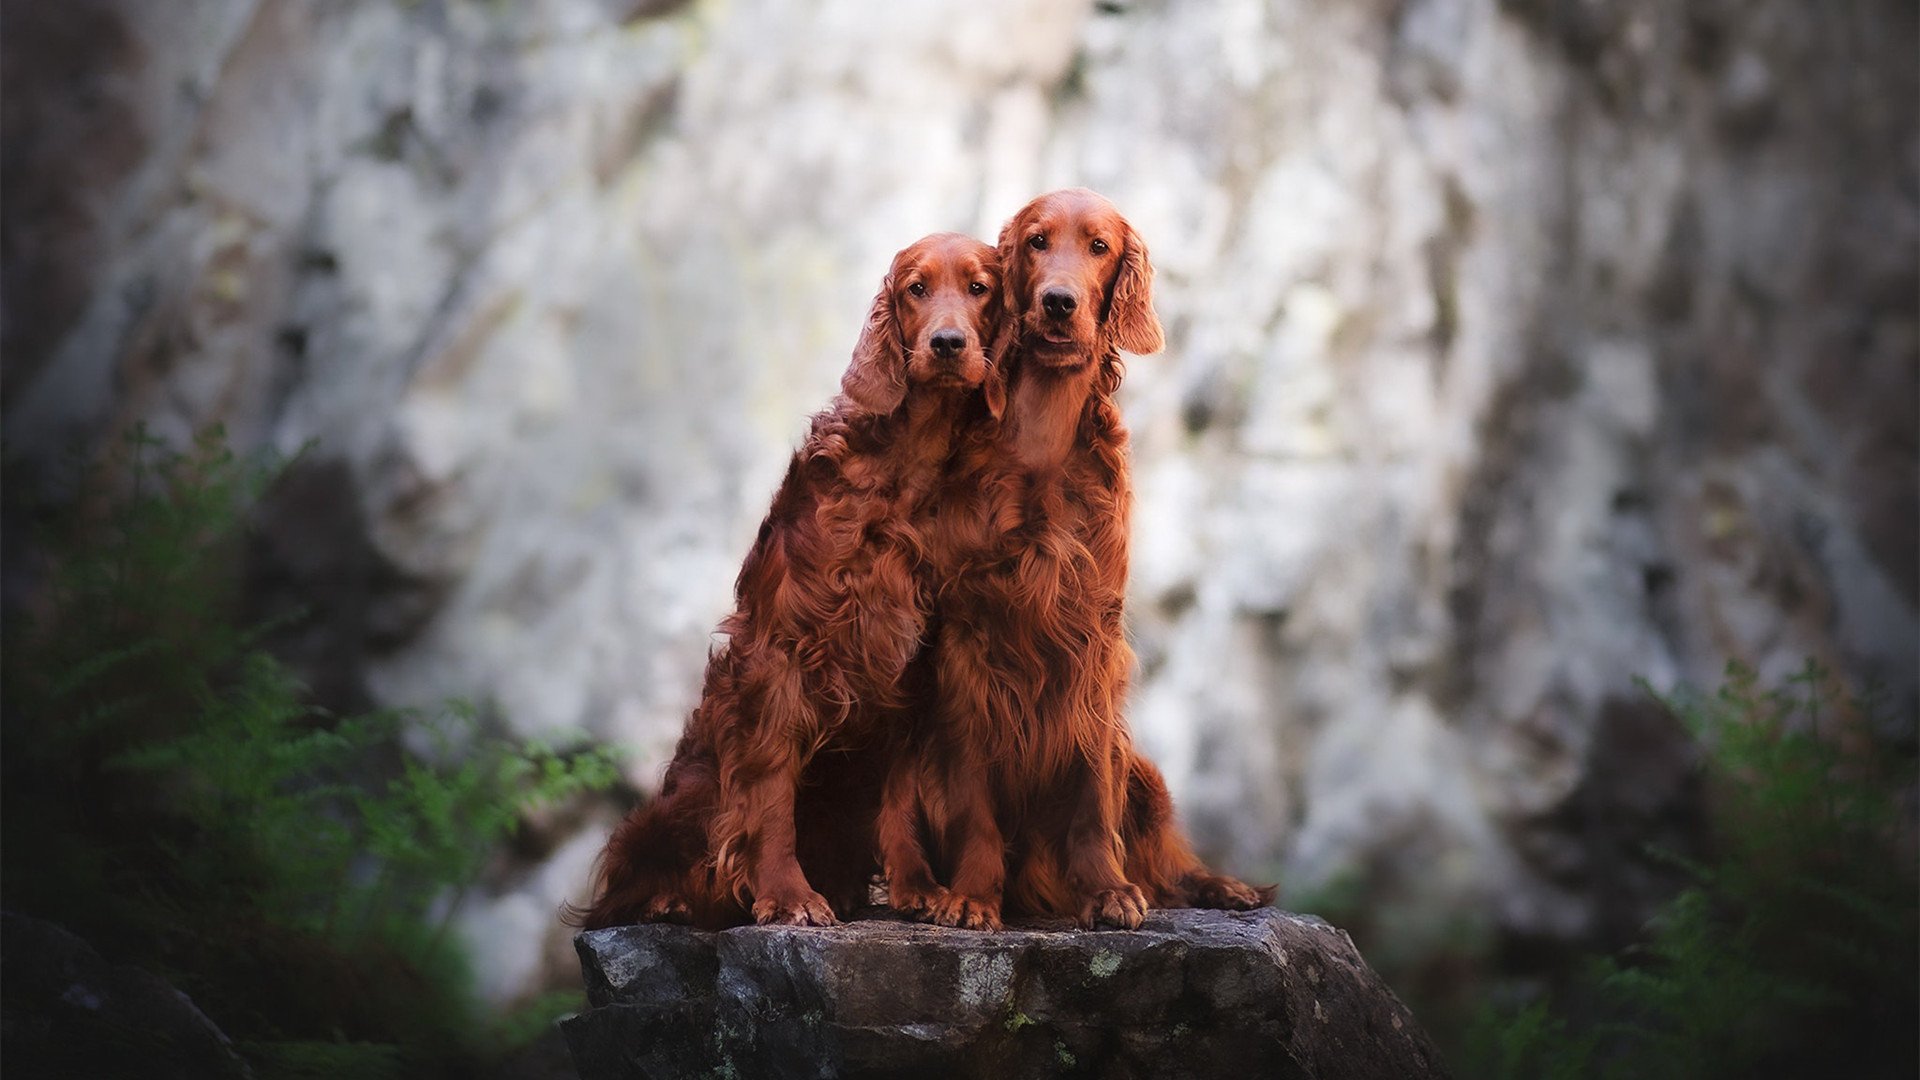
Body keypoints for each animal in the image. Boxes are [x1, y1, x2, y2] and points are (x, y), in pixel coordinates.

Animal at [568, 189, 1267, 930]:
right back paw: (673, 897)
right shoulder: (814, 652)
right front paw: (806, 895)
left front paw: (1090, 889)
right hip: (692, 783)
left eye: (1098, 247)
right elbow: (774, 794)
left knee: (1161, 853)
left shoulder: (1061, 643)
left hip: (1139, 768)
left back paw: (1220, 885)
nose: (1055, 303)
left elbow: (1077, 790)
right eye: (916, 289)